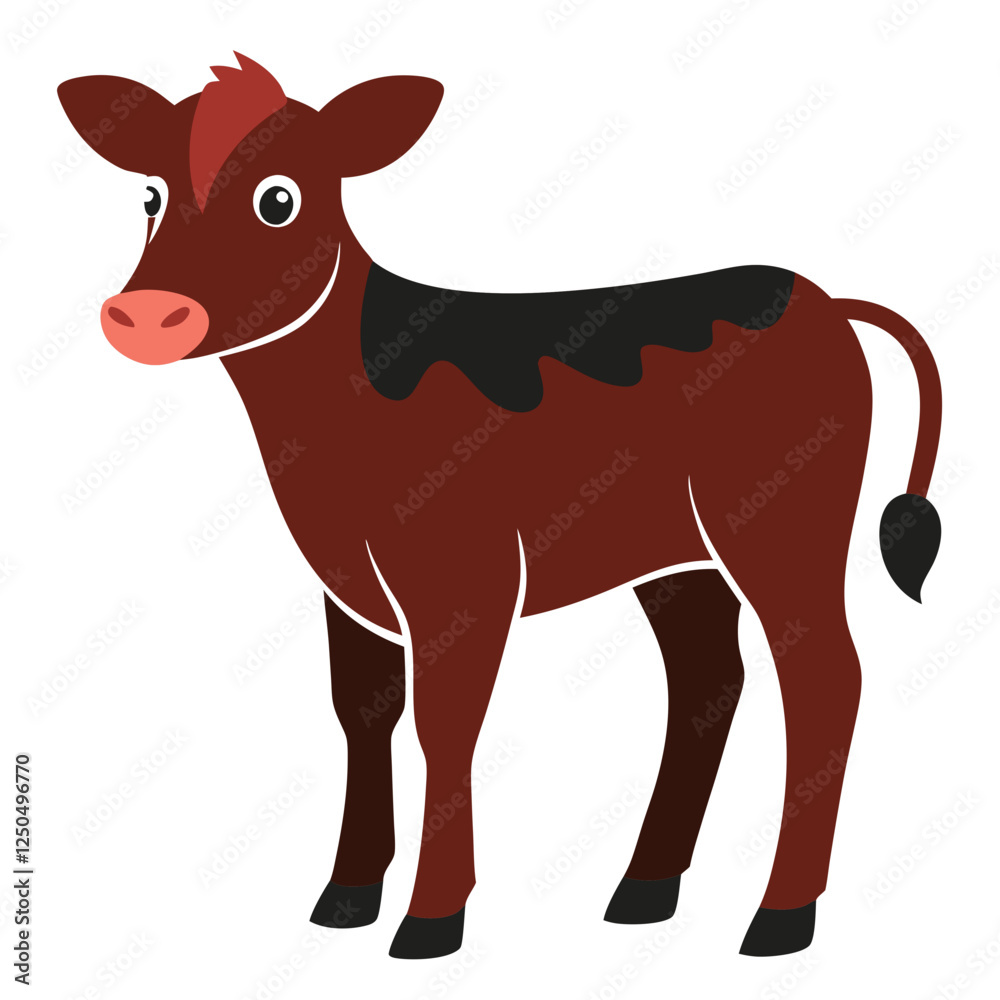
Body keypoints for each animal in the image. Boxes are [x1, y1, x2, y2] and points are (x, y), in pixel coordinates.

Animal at [58, 53, 942, 960]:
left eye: (279, 198)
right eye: (150, 195)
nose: (145, 316)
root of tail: (823, 300)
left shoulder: (462, 581)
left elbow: (444, 726)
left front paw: (430, 918)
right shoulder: (348, 586)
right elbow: (362, 716)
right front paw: (347, 896)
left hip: (780, 530)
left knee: (825, 675)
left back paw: (781, 915)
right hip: (675, 557)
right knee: (706, 681)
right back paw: (645, 890)